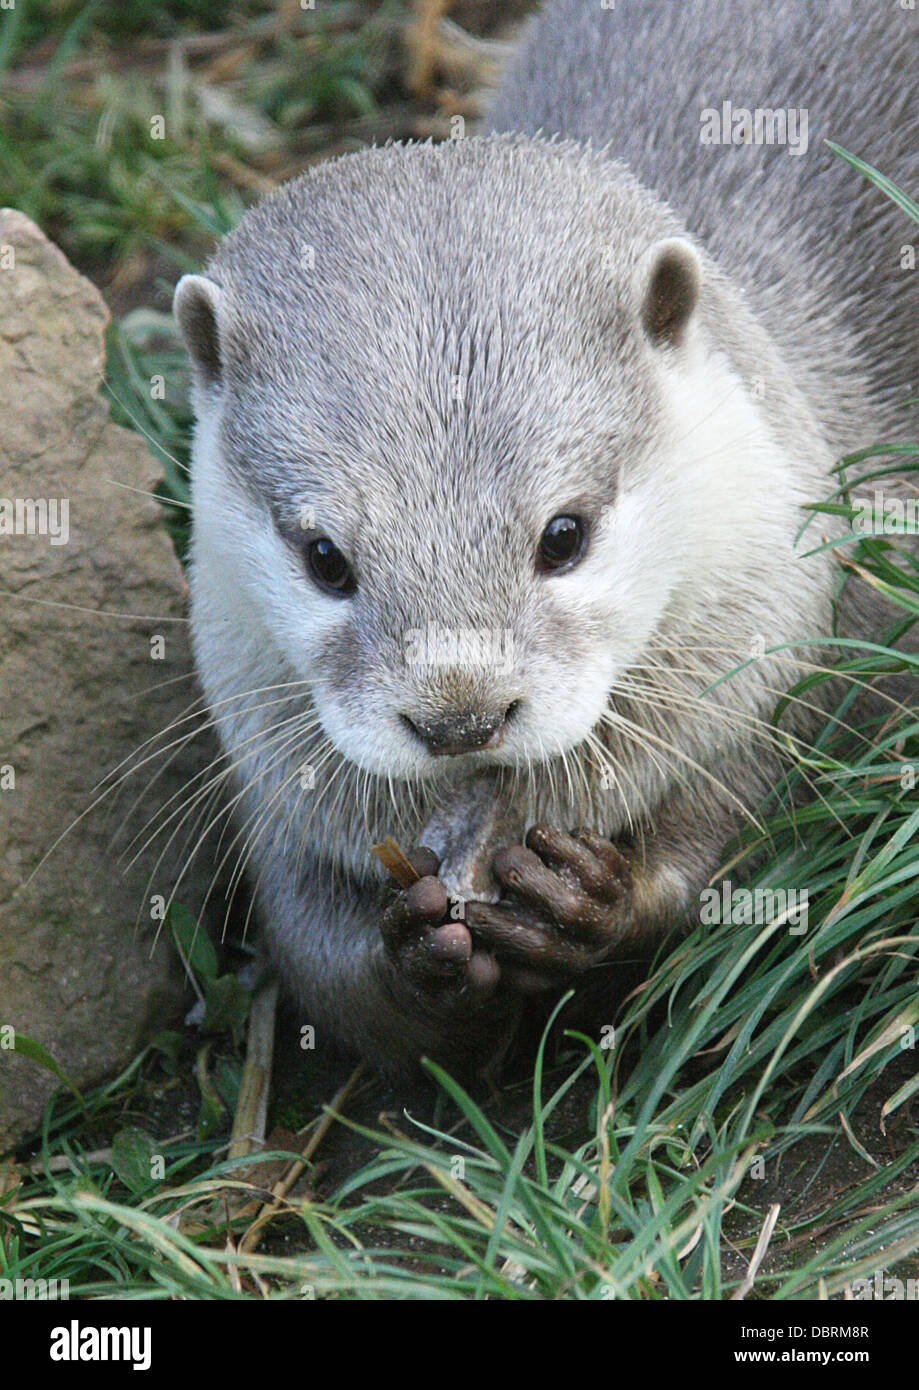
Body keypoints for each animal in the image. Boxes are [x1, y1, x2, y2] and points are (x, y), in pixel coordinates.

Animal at [173, 0, 918, 1077]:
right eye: (324, 557)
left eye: (563, 534)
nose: (460, 716)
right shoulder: (275, 796)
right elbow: (322, 967)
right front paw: (411, 946)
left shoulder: (787, 677)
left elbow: (739, 855)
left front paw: (592, 899)